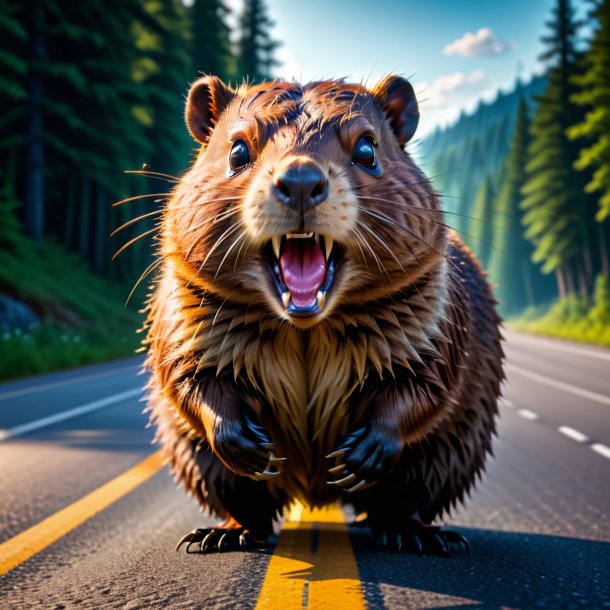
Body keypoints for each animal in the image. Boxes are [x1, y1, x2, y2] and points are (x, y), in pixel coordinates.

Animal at [144, 73, 504, 552]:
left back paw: (418, 535)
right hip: (199, 462)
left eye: (367, 149)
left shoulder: (435, 313)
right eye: (237, 150)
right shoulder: (184, 311)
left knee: (404, 498)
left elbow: (427, 383)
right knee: (243, 501)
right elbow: (187, 377)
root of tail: (314, 497)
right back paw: (222, 535)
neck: (306, 328)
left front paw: (358, 455)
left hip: (445, 457)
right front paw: (250, 445)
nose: (300, 180)